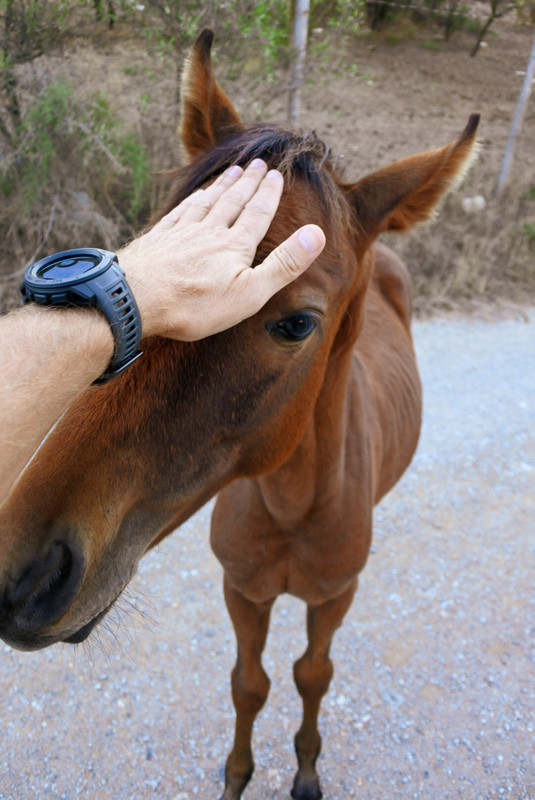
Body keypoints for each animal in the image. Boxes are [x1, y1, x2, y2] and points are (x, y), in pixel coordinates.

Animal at [0, 28, 480, 800]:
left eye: (296, 323)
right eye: (146, 253)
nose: (29, 572)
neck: (291, 505)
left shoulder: (332, 596)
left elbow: (312, 675)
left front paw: (306, 770)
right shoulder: (242, 591)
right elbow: (248, 684)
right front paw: (237, 776)